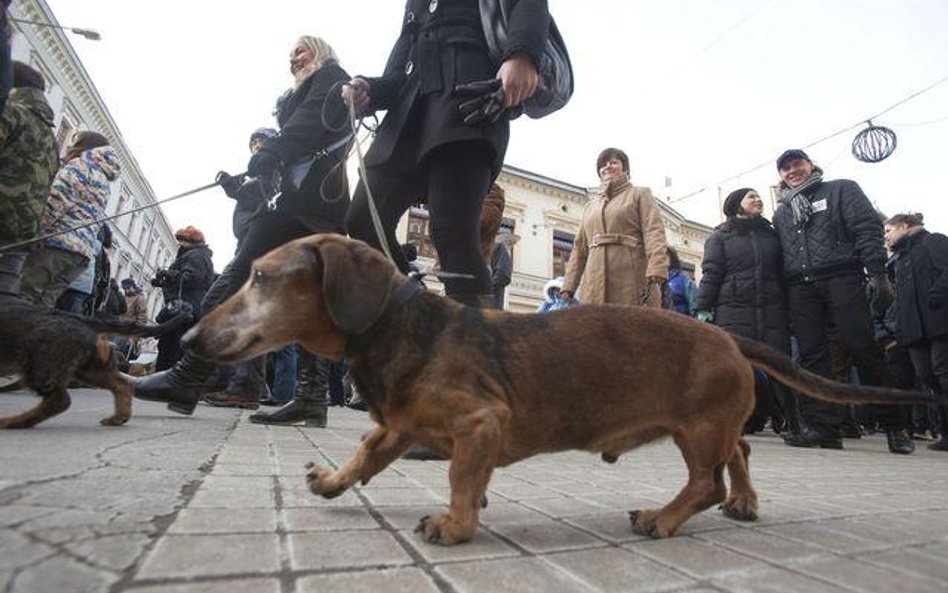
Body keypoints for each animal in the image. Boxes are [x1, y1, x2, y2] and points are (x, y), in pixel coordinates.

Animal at [0, 294, 189, 426]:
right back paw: (117, 418)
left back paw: (11, 422)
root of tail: (86, 321)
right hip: (89, 368)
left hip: (42, 364)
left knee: (60, 400)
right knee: (123, 385)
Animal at [185, 235, 940, 544]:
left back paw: (663, 517)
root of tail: (729, 336)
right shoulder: (399, 423)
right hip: (711, 422)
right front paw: (333, 480)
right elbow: (368, 451)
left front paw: (455, 524)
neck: (401, 324)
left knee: (706, 481)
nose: (189, 339)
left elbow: (461, 479)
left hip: (697, 427)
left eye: (261, 276)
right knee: (741, 455)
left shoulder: (480, 422)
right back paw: (746, 501)